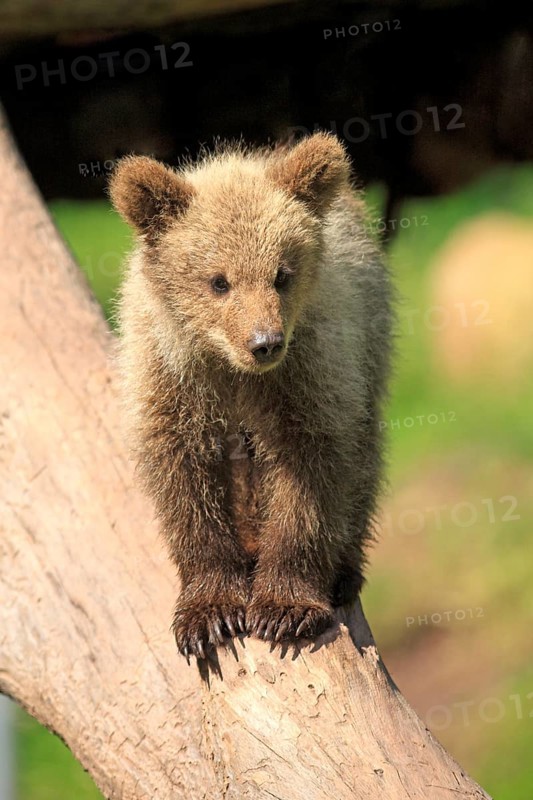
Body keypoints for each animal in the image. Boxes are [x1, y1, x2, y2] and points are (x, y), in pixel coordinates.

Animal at [109, 132, 393, 661]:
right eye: (218, 280)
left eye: (281, 273)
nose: (265, 342)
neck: (230, 367)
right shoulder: (173, 378)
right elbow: (184, 479)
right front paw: (209, 614)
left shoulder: (309, 375)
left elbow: (308, 477)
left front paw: (285, 609)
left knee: (364, 456)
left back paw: (343, 571)